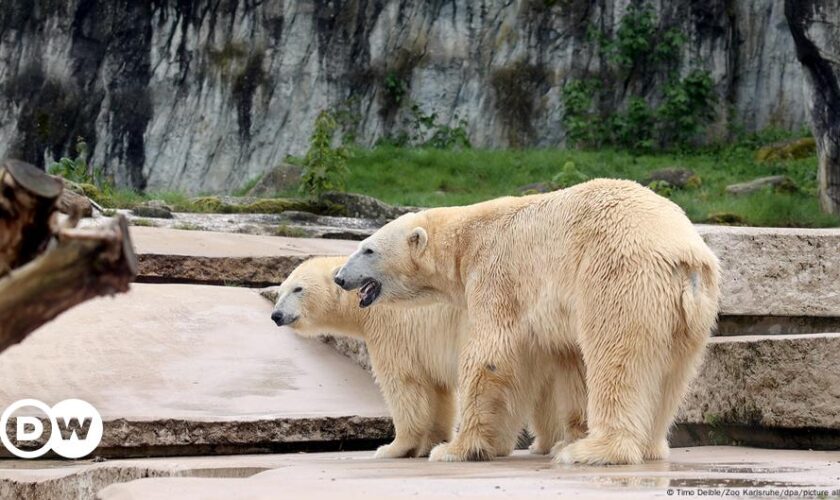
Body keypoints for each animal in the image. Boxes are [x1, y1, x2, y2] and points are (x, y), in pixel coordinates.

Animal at [272, 258, 588, 460]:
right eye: (280, 289)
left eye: (298, 289)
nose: (276, 315)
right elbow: (438, 392)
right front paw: (430, 442)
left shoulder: (393, 328)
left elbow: (405, 385)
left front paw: (394, 448)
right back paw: (540, 444)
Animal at [334, 179, 720, 464]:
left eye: (367, 249)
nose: (339, 277)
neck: (465, 238)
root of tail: (685, 256)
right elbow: (569, 362)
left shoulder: (495, 272)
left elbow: (490, 355)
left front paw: (454, 449)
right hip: (692, 315)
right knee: (673, 375)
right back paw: (648, 447)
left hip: (619, 276)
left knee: (617, 359)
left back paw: (593, 451)